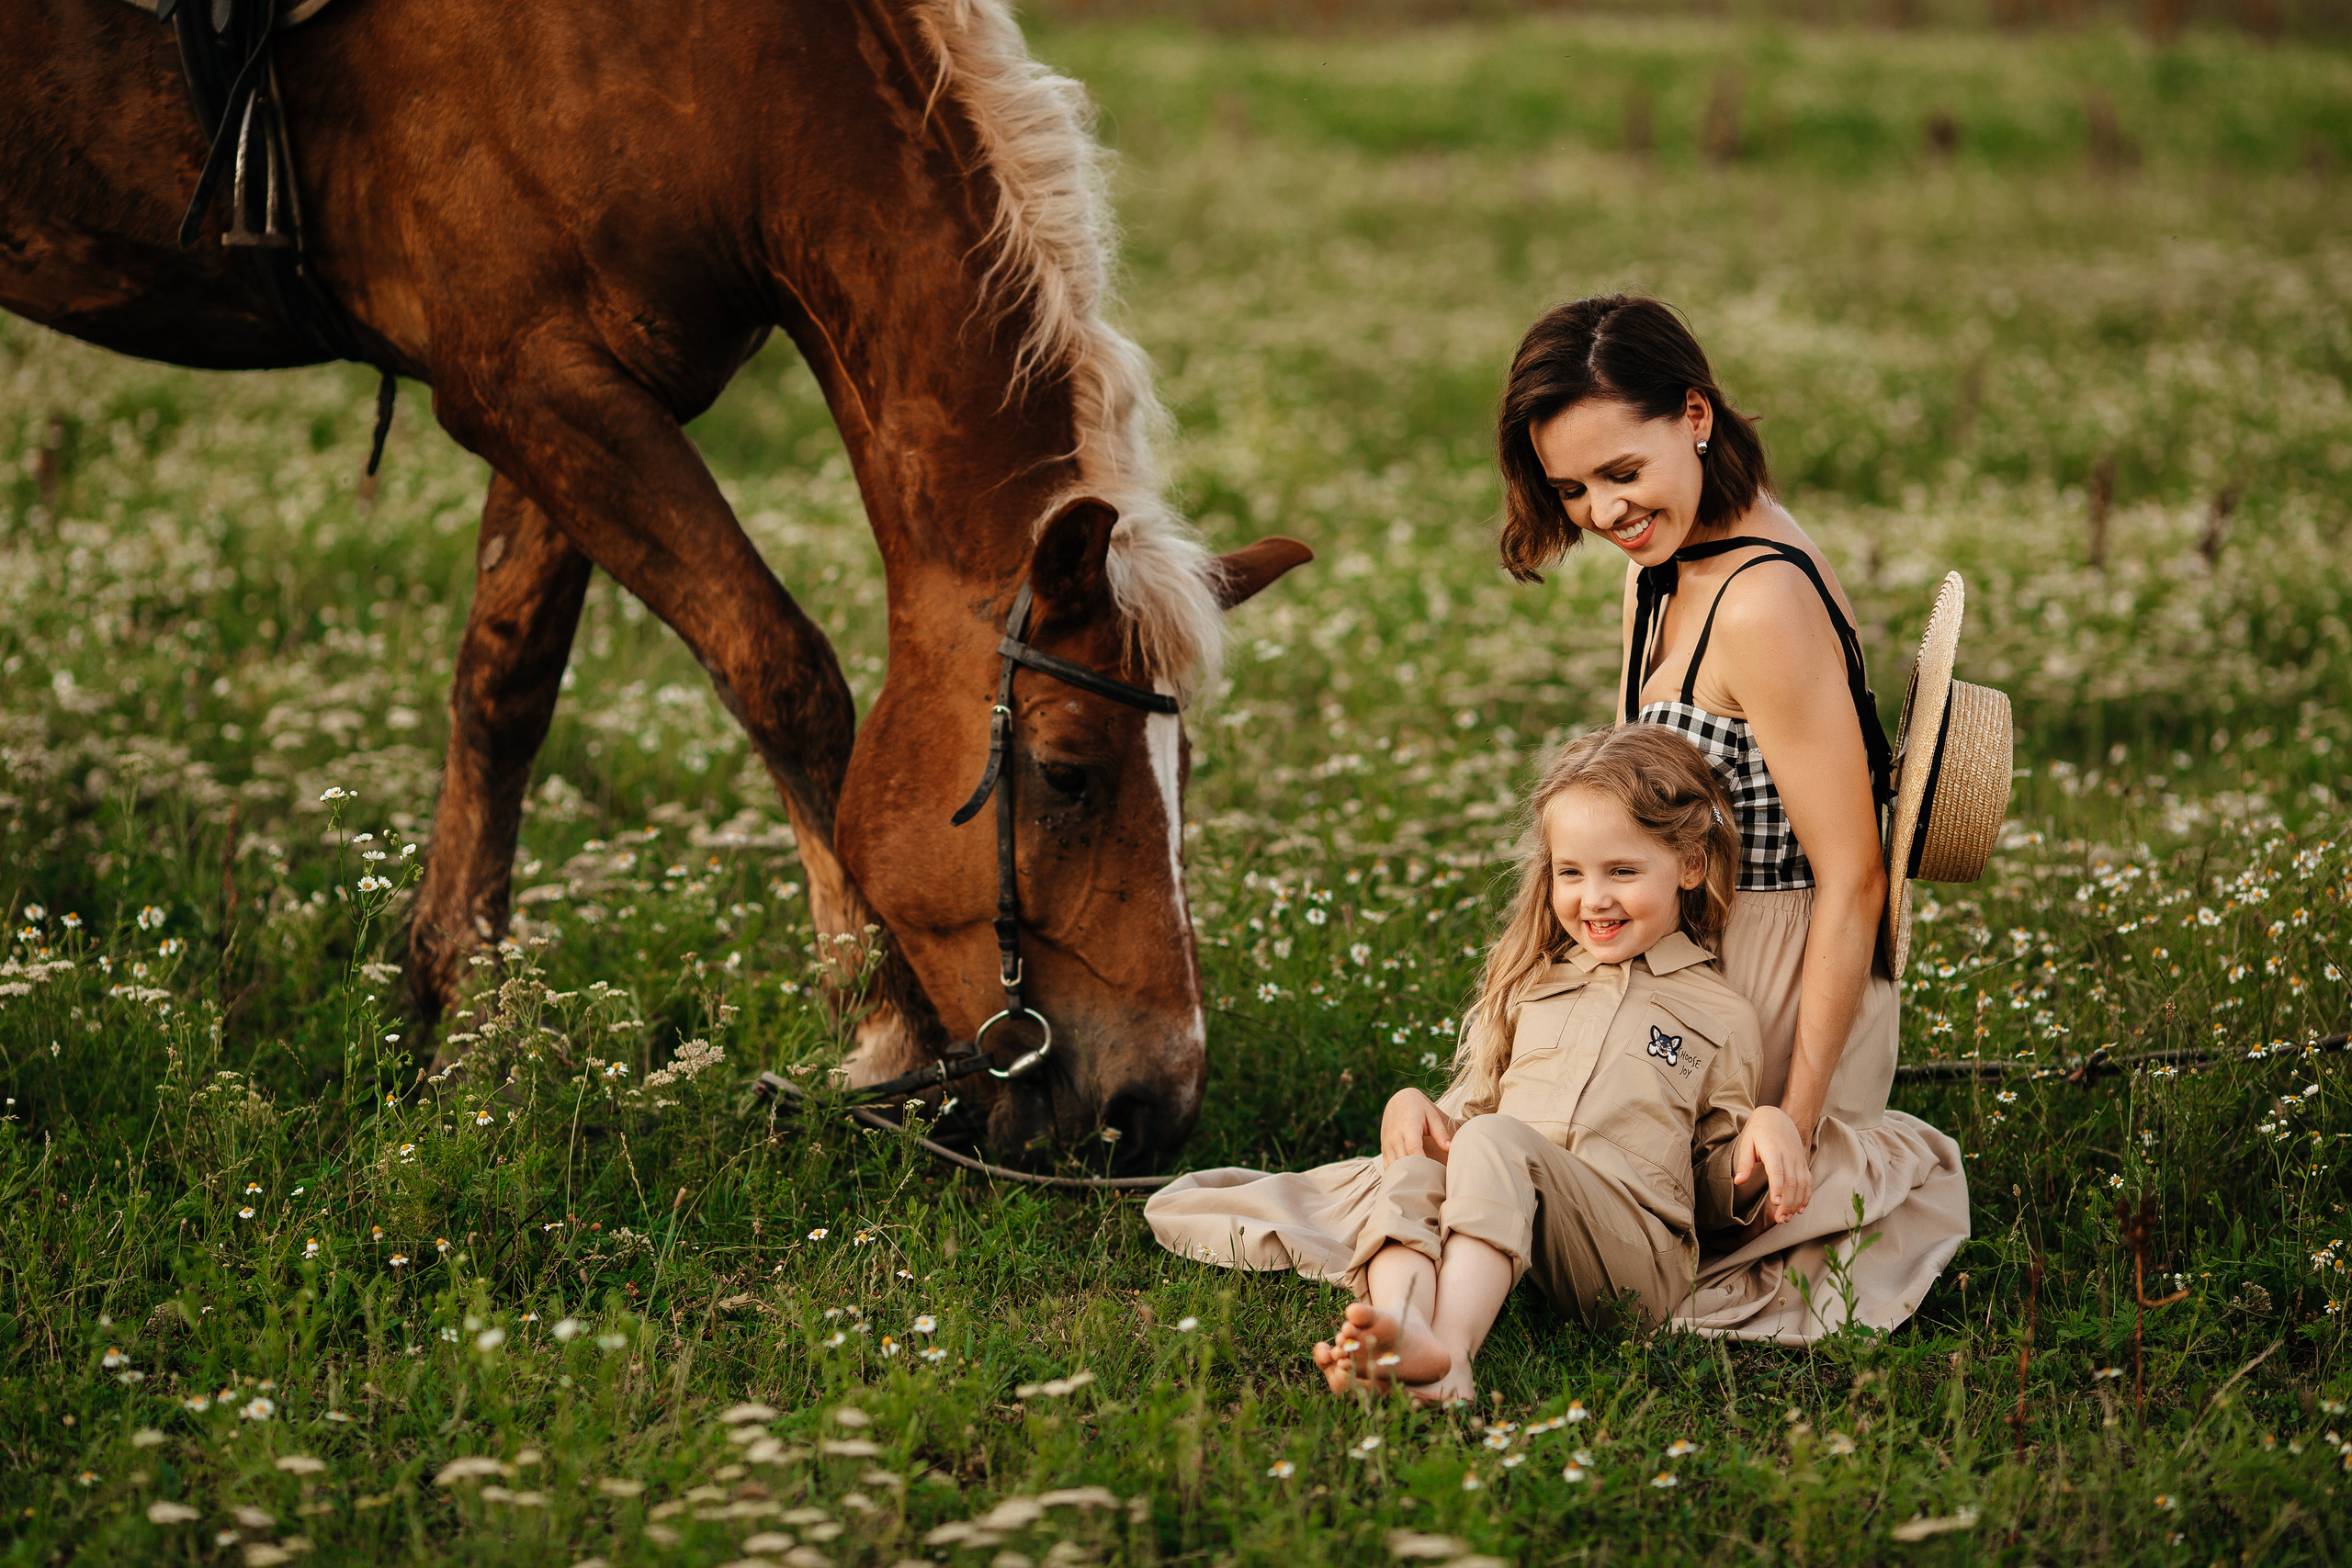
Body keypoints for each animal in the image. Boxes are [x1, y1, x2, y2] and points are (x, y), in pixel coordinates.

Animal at [1, 0, 1310, 1170]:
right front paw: (883, 1035)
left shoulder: (565, 388)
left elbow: (506, 688)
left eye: (1186, 773)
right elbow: (780, 669)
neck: (719, 64)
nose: (1154, 1107)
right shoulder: (526, 381)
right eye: (1066, 773)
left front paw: (457, 1027)